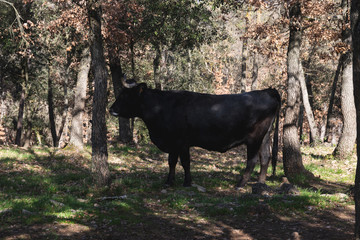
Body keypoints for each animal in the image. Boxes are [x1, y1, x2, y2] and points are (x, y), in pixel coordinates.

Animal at [110, 78, 282, 188]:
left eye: (125, 96)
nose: (111, 109)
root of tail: (268, 91)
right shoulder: (172, 142)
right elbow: (171, 161)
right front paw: (169, 182)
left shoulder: (182, 141)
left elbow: (185, 162)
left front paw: (187, 183)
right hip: (265, 136)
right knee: (265, 157)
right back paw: (260, 183)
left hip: (254, 138)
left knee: (252, 160)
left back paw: (241, 184)